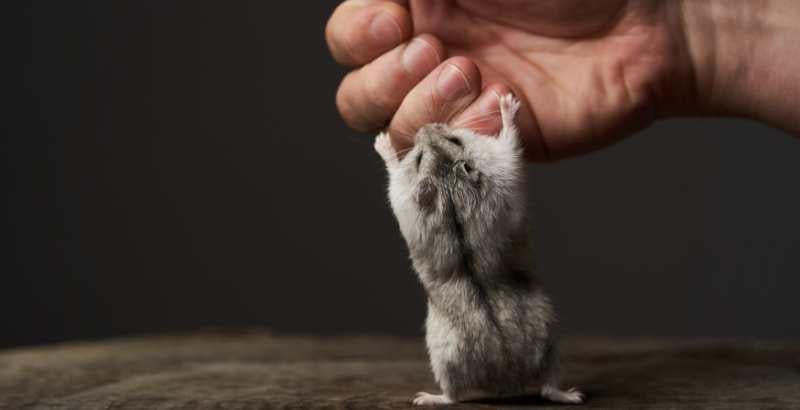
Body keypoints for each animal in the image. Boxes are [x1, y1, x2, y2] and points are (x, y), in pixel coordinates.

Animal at [374, 95, 584, 406]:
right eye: (419, 158)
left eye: (454, 138)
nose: (425, 125)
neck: (449, 180)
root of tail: (506, 375)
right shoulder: (500, 160)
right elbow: (509, 137)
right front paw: (508, 102)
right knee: (460, 396)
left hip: (542, 345)